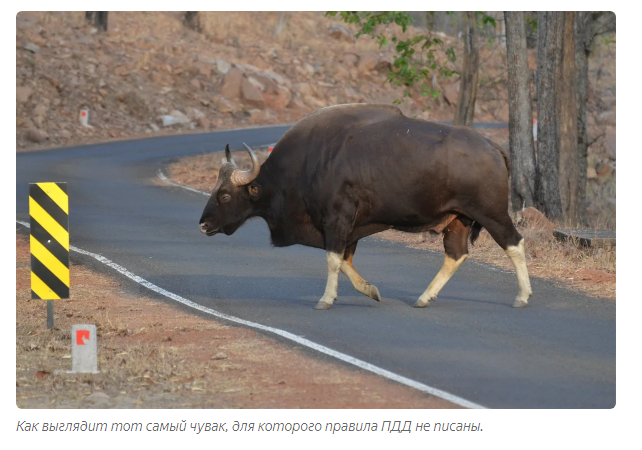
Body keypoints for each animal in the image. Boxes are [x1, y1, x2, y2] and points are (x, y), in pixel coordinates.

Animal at [199, 104, 528, 310]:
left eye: (225, 195)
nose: (203, 224)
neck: (308, 163)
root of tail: (492, 147)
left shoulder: (337, 221)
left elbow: (333, 260)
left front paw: (326, 299)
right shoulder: (350, 229)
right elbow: (345, 261)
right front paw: (370, 290)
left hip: (492, 214)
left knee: (514, 243)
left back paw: (523, 296)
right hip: (458, 219)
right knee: (456, 254)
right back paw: (424, 298)